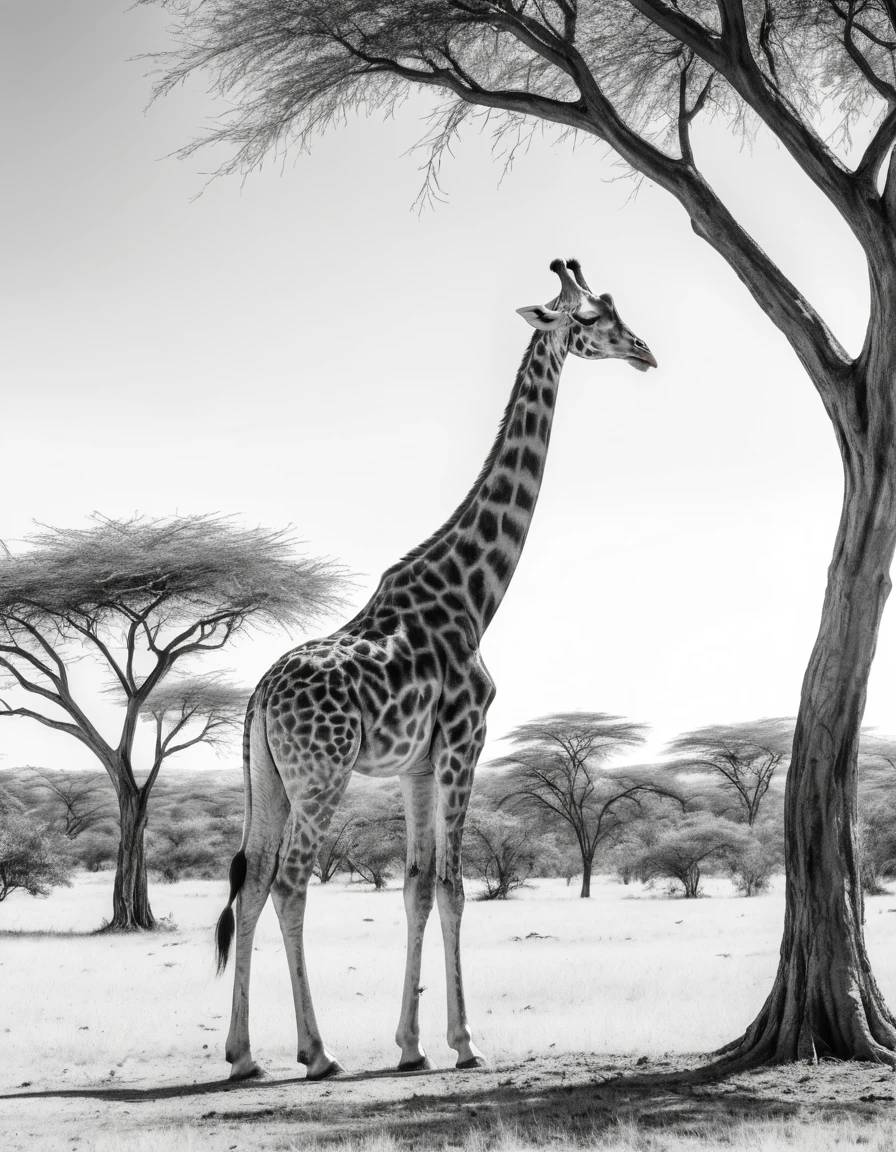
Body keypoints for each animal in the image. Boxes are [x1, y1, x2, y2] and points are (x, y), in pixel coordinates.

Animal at [215, 258, 657, 1081]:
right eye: (589, 319)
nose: (645, 351)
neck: (476, 597)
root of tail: (258, 697)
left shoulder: (419, 766)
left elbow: (417, 887)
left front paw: (413, 1045)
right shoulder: (463, 743)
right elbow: (452, 886)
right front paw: (465, 1042)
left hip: (269, 778)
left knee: (252, 882)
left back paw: (243, 1055)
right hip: (322, 775)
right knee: (291, 885)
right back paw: (316, 1053)